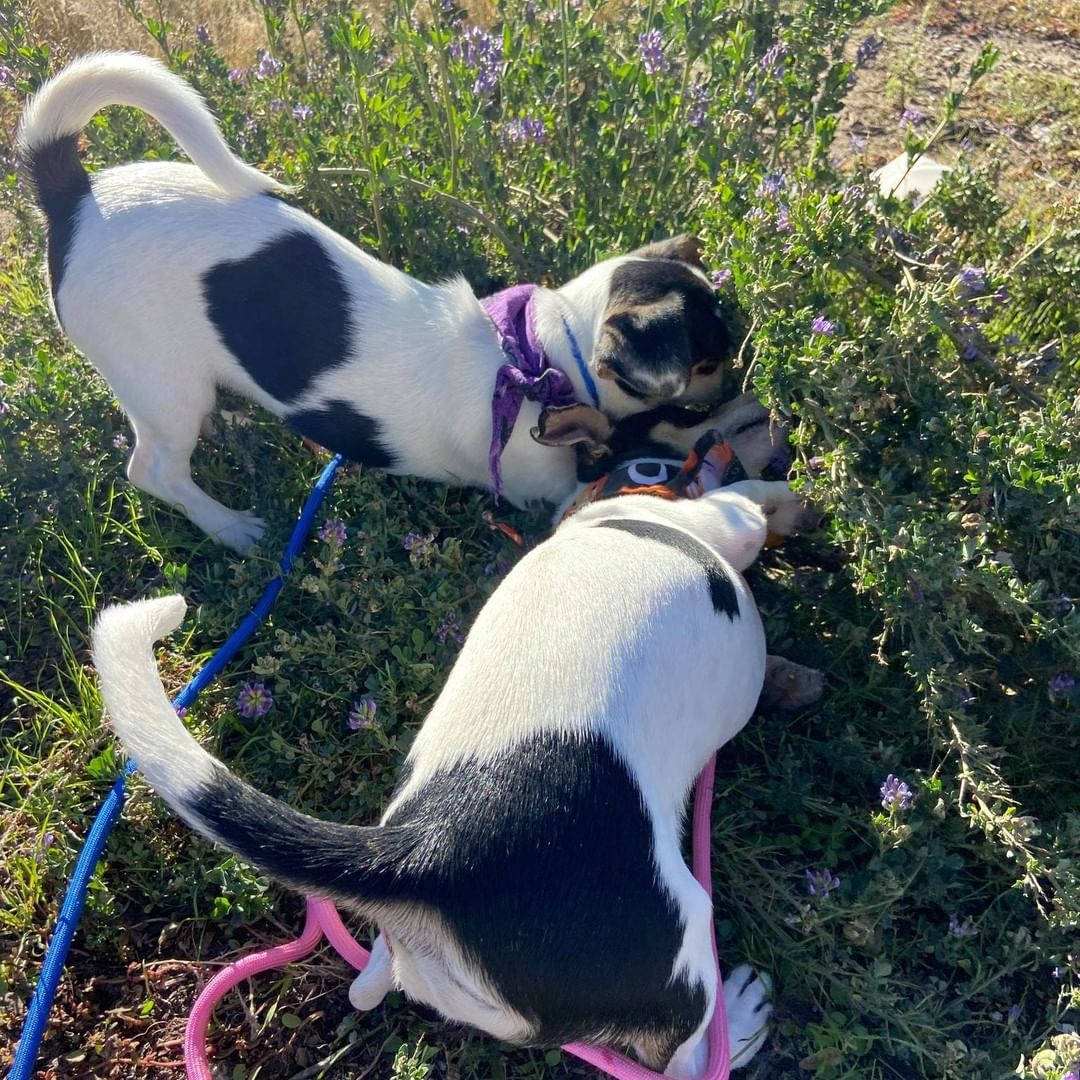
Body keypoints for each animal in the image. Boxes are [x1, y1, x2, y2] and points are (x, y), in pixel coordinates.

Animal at [16, 51, 747, 552]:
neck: (536, 354)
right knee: (154, 468)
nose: (738, 388)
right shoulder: (547, 485)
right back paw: (227, 527)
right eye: (711, 362)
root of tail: (73, 196)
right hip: (161, 387)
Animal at [95, 470, 816, 1071]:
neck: (611, 517)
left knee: (368, 987)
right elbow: (747, 508)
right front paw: (777, 499)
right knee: (687, 1061)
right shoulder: (720, 520)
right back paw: (740, 1023)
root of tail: (429, 851)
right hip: (680, 949)